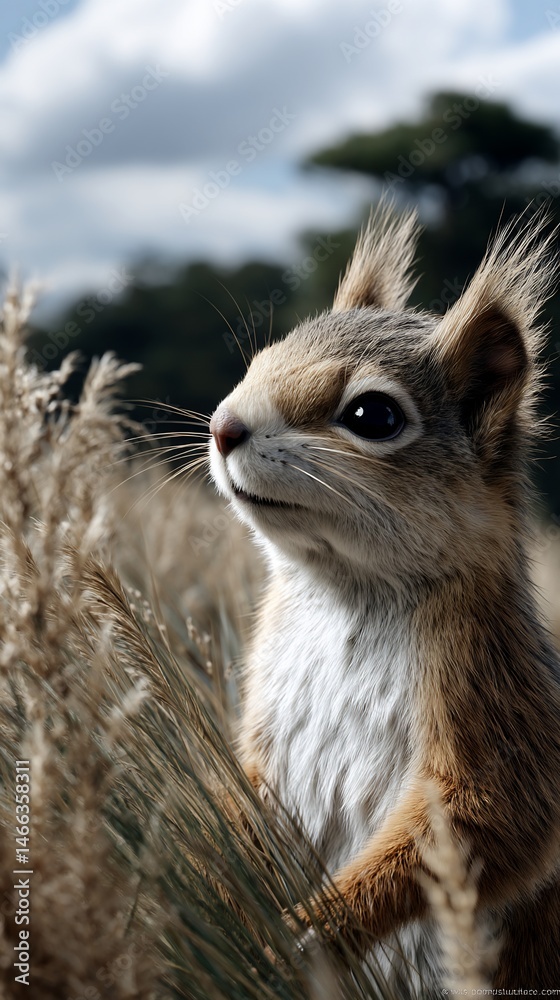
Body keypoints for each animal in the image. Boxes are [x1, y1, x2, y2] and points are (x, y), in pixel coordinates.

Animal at [209, 202, 560, 991]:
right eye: (263, 355)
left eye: (373, 416)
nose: (222, 426)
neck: (343, 590)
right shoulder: (262, 709)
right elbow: (245, 782)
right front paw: (223, 874)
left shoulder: (491, 684)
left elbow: (485, 818)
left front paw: (304, 935)